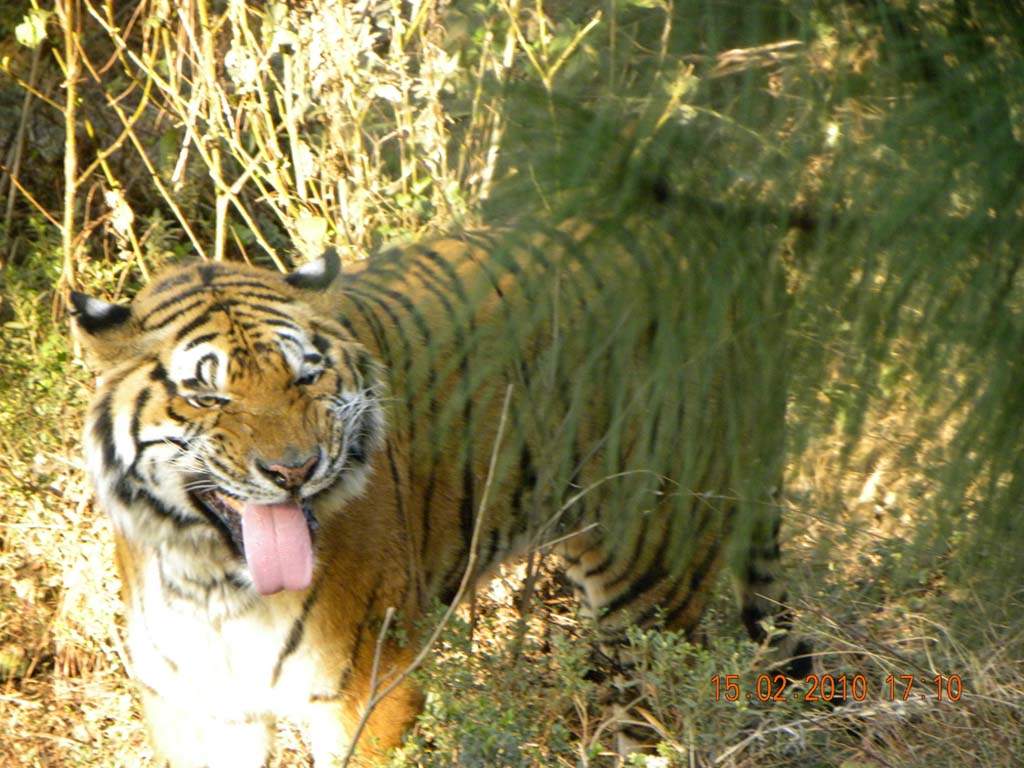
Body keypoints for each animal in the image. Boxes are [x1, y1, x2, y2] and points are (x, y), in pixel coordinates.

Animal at [70, 224, 806, 768]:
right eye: (208, 395)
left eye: (305, 378)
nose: (295, 470)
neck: (215, 578)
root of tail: (731, 243)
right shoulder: (195, 706)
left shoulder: (366, 687)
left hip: (650, 578)